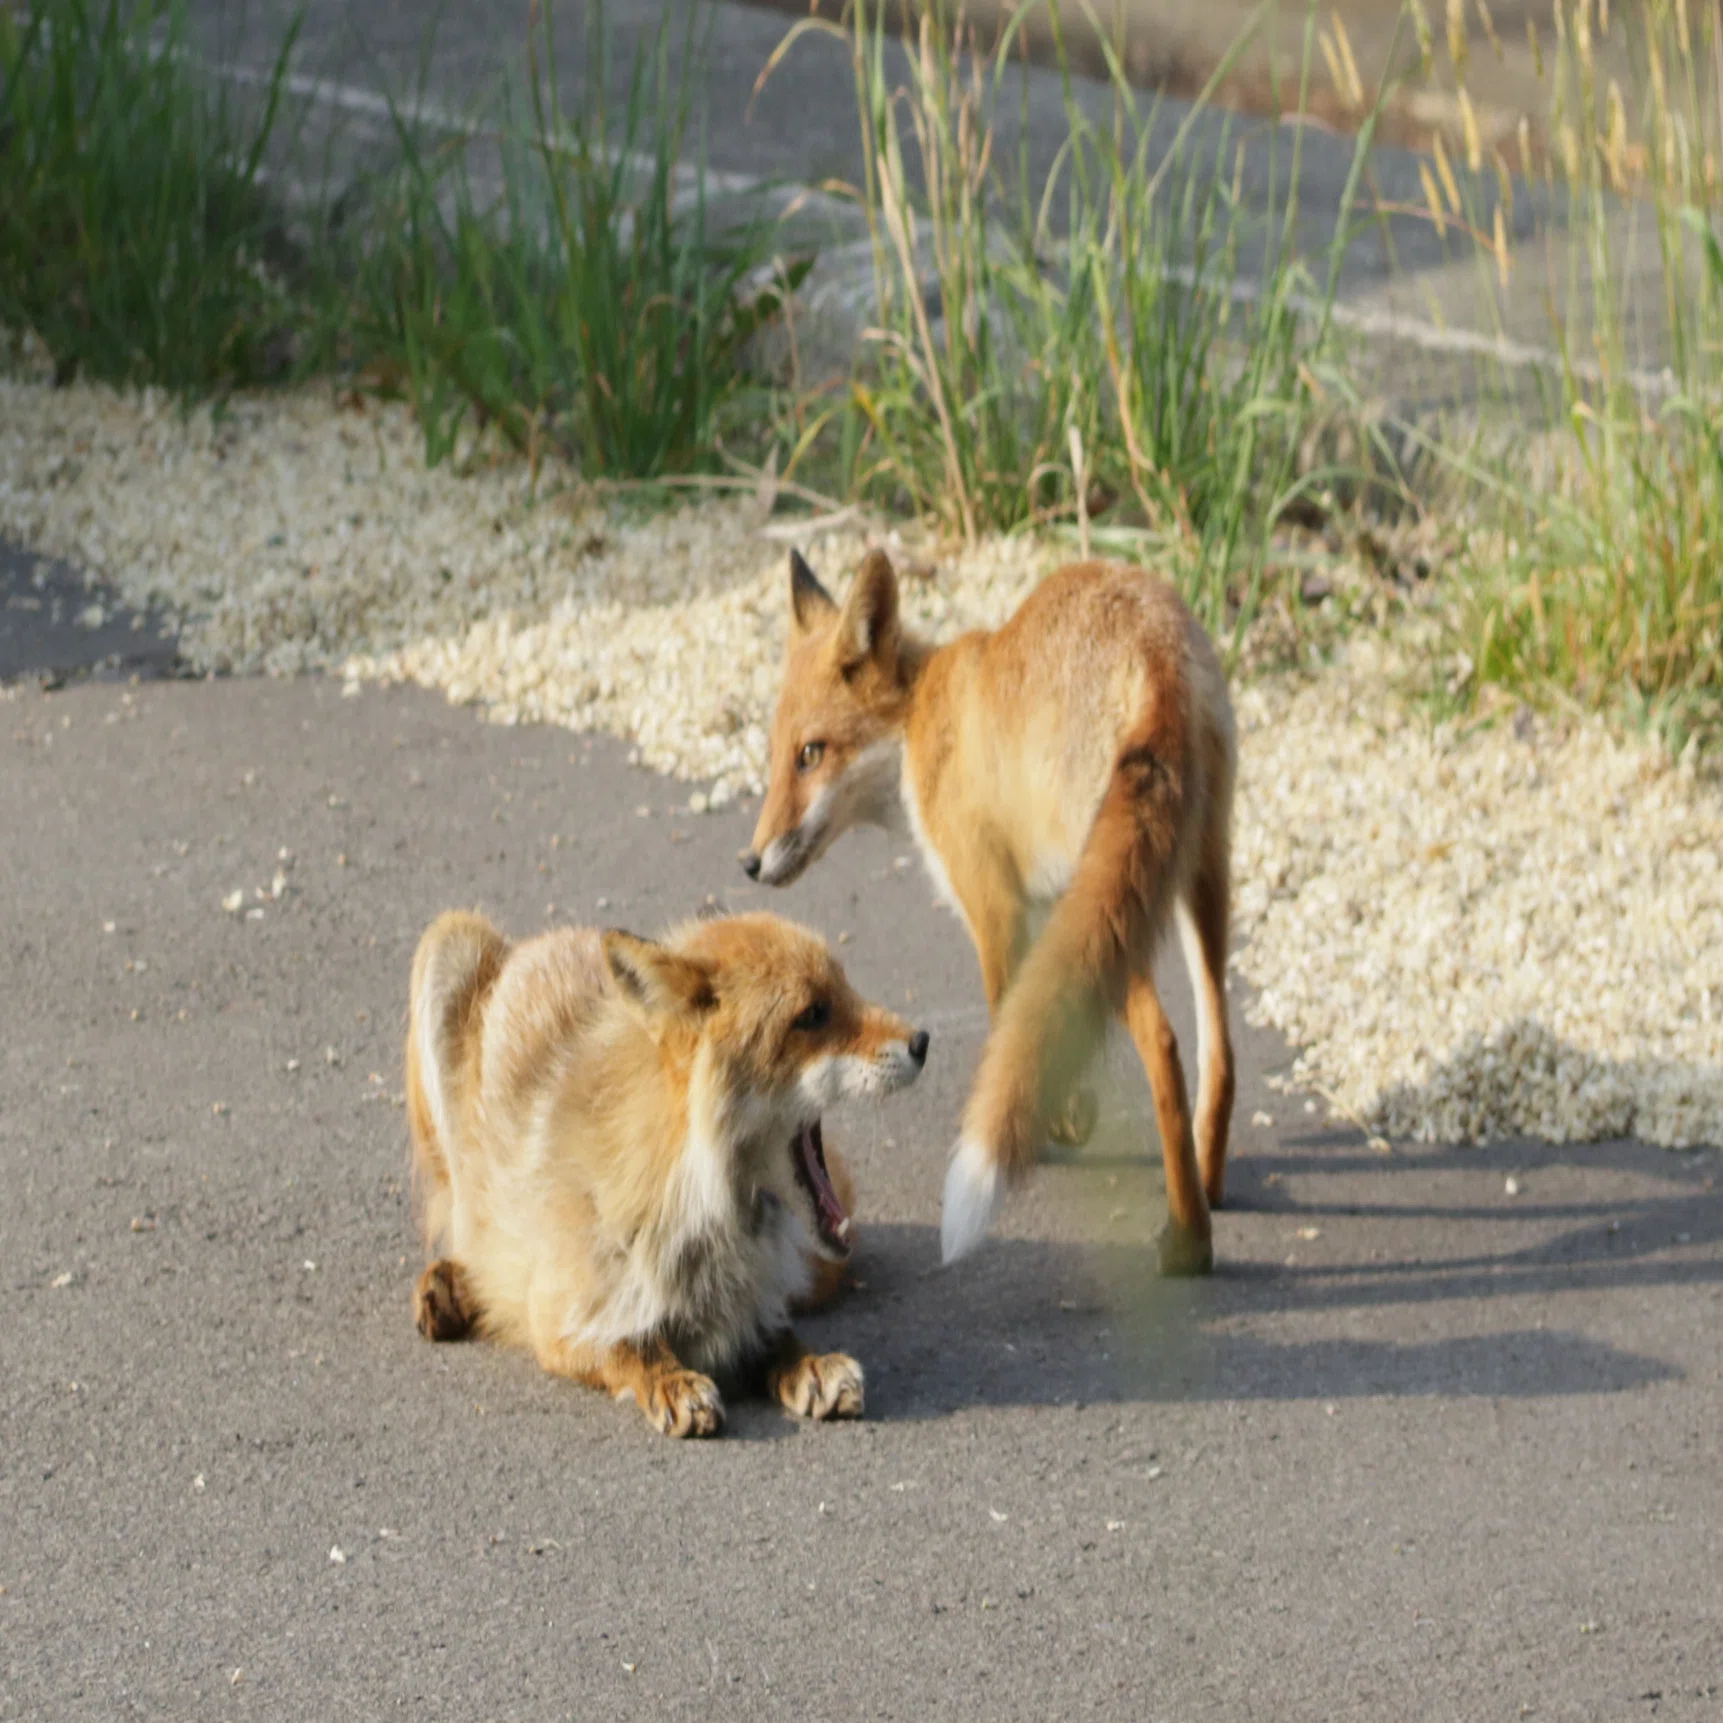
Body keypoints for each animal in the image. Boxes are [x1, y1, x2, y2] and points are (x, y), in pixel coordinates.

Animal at [404, 908, 928, 1437]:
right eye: (814, 1014)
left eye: (847, 990)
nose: (923, 1042)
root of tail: (547, 938)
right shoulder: (556, 1317)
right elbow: (630, 1344)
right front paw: (671, 1380)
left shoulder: (754, 1297)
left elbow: (777, 1332)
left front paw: (808, 1364)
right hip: (449, 940)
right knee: (462, 1225)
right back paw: (452, 1286)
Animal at [741, 549, 1236, 1276]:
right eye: (777, 757)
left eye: (812, 754)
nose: (750, 862)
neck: (921, 718)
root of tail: (1152, 649)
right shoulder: (1047, 908)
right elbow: (1045, 1016)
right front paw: (1066, 1114)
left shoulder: (992, 901)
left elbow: (1013, 1015)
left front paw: (1055, 1125)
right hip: (1198, 873)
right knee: (1219, 1044)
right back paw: (1208, 1183)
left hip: (1109, 896)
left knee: (1163, 1038)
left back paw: (1189, 1238)